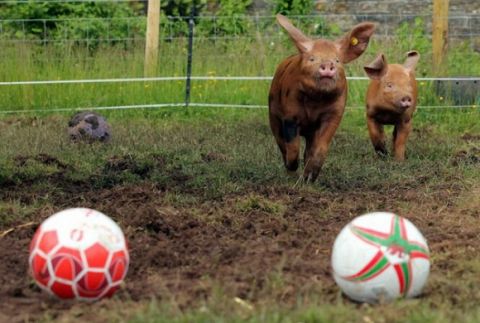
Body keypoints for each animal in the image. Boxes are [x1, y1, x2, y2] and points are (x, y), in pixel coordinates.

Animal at [270, 14, 376, 182]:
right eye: (312, 59)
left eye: (337, 60)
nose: (327, 64)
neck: (315, 101)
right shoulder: (290, 114)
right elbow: (292, 145)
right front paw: (293, 167)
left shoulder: (333, 115)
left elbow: (320, 148)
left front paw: (310, 178)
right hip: (272, 114)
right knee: (281, 143)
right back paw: (290, 171)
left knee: (308, 150)